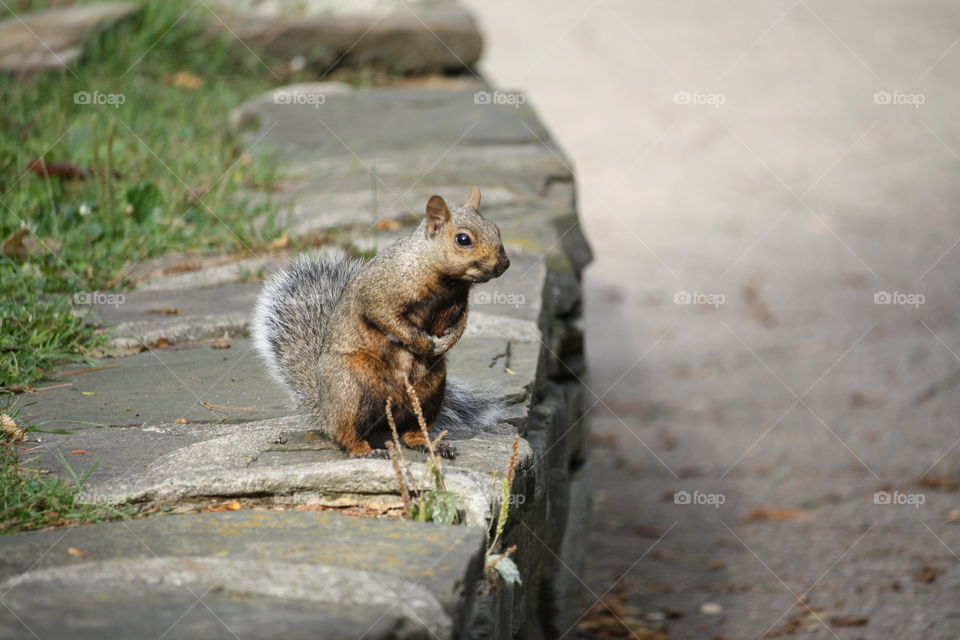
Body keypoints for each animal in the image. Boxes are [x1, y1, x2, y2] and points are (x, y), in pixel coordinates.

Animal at [253, 186, 510, 460]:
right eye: (463, 239)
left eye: (496, 228)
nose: (504, 264)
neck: (446, 281)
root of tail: (325, 411)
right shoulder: (379, 294)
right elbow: (387, 319)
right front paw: (421, 342)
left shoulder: (459, 305)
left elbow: (461, 324)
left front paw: (448, 341)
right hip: (352, 390)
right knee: (346, 434)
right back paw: (364, 451)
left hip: (431, 391)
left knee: (412, 430)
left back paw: (431, 445)